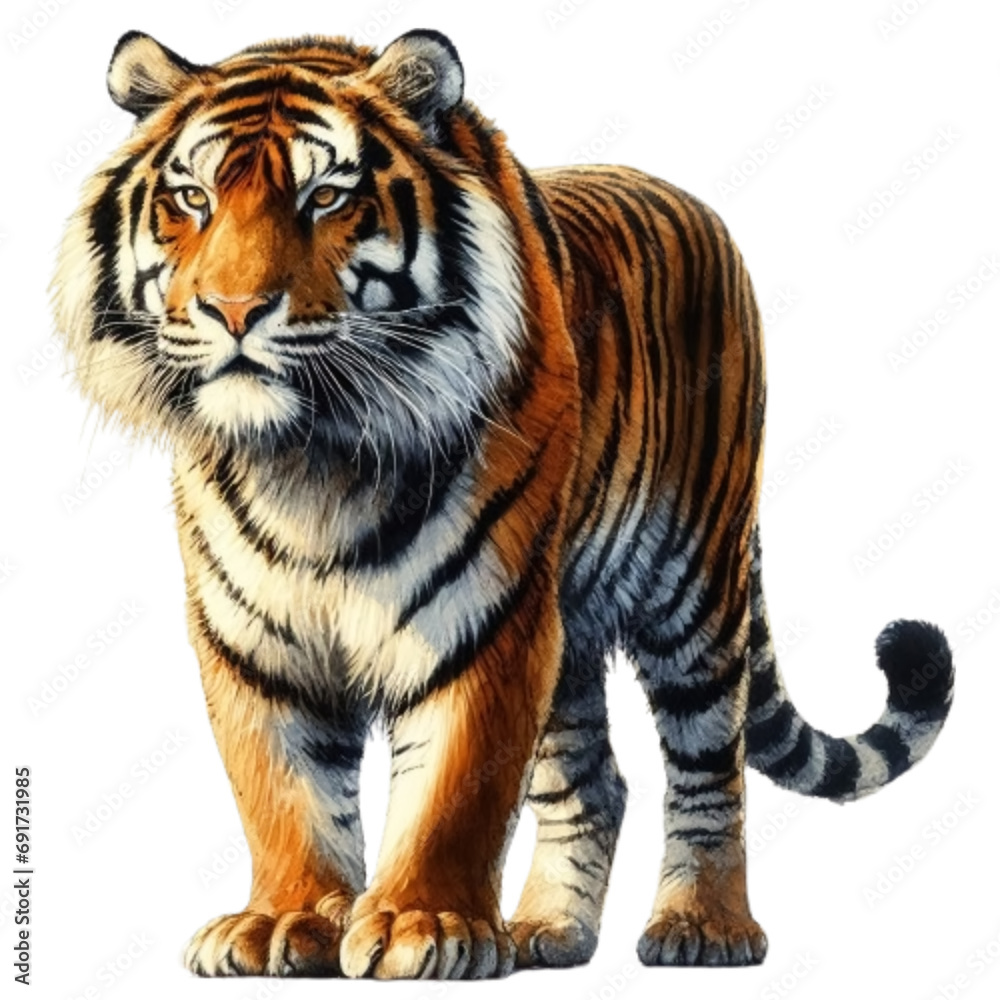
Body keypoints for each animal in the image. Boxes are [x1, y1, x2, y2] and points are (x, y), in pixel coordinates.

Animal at [53, 27, 955, 979]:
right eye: (191, 198)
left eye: (327, 196)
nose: (232, 311)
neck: (311, 457)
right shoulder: (250, 635)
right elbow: (283, 790)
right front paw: (284, 921)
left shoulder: (484, 616)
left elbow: (454, 786)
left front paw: (423, 926)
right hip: (570, 631)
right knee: (594, 778)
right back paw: (549, 930)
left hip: (693, 588)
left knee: (712, 762)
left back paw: (703, 927)